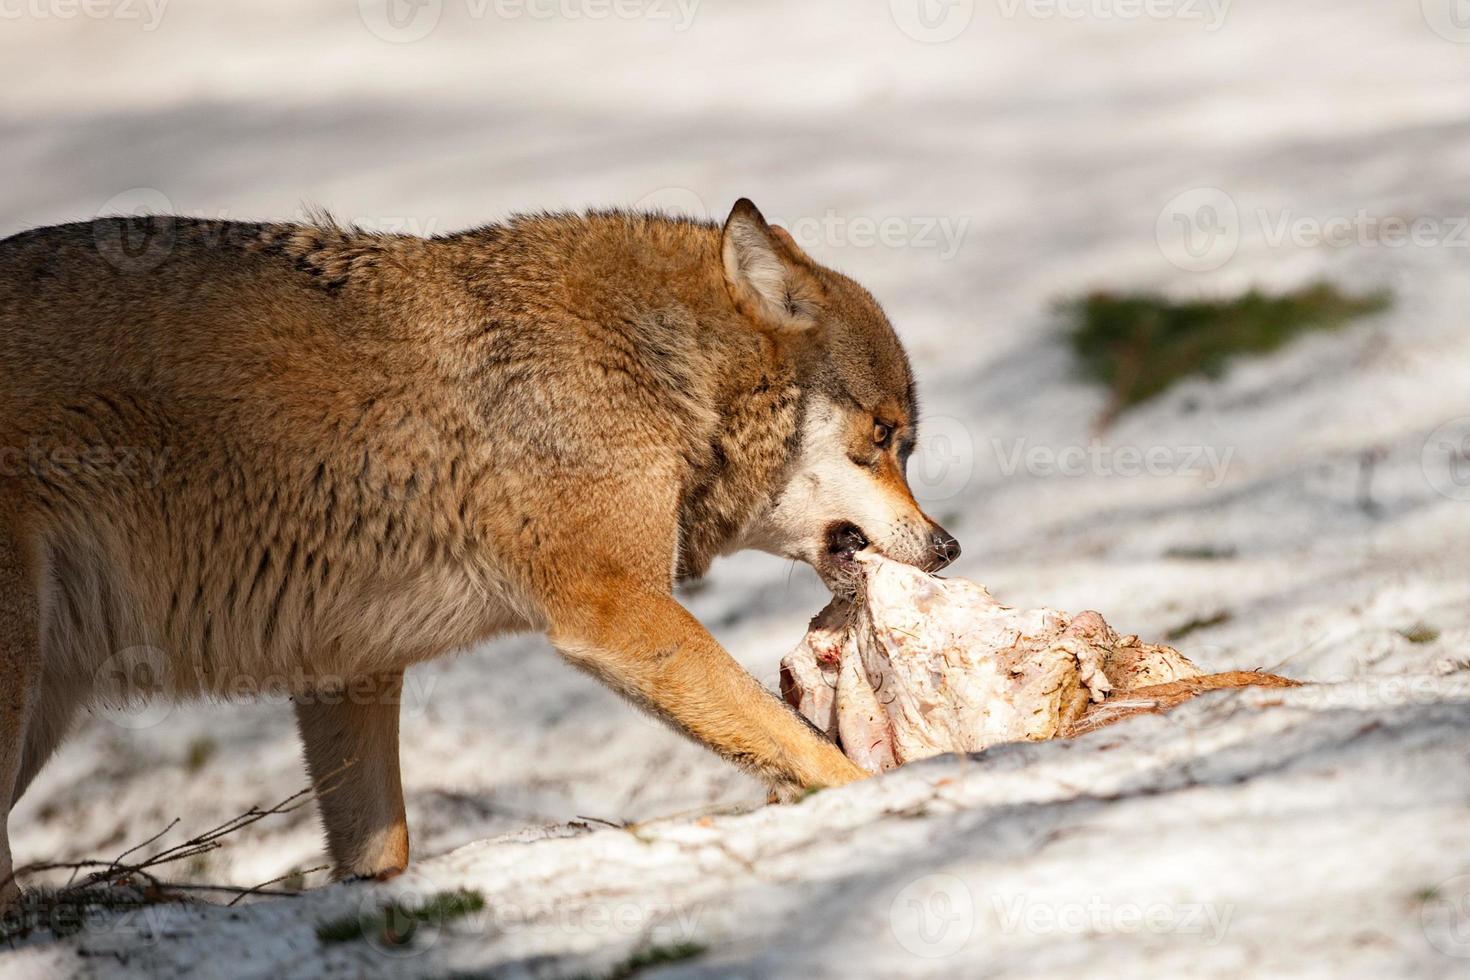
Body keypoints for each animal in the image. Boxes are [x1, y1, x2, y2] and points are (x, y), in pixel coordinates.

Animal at [0, 201, 952, 905]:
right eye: (884, 436)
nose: (948, 546)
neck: (654, 370)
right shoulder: (614, 609)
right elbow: (792, 739)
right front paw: (885, 792)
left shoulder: (349, 673)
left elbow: (380, 851)